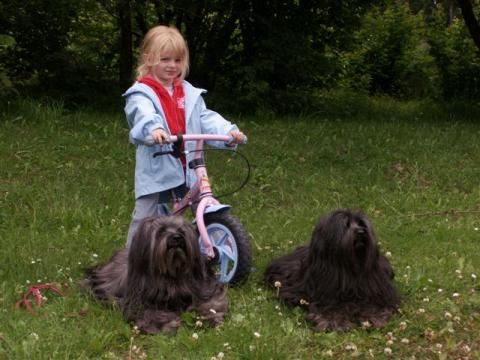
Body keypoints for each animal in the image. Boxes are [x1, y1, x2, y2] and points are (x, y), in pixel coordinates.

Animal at [81, 215, 228, 334]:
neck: (171, 276)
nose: (176, 237)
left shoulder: (204, 289)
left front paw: (211, 317)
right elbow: (149, 314)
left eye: (181, 231)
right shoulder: (137, 303)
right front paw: (168, 323)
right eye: (161, 231)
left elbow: (212, 303)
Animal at [264, 208, 400, 332]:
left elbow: (372, 304)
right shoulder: (324, 294)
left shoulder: (378, 292)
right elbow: (329, 308)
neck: (349, 270)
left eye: (361, 223)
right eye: (346, 225)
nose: (361, 231)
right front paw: (334, 322)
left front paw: (374, 317)